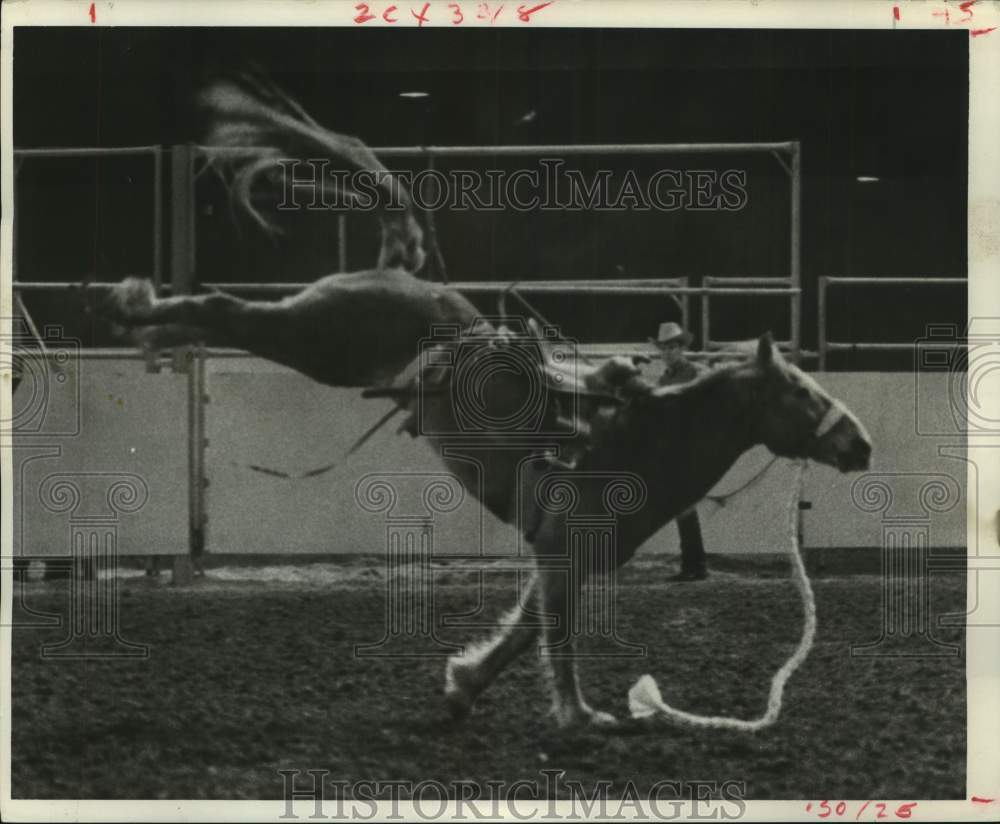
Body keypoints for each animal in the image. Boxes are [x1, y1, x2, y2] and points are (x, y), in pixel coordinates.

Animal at [90, 75, 872, 728]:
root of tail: (397, 271)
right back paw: (133, 308)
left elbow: (525, 630)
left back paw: (143, 321)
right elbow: (555, 635)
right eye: (802, 392)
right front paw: (579, 715)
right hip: (316, 339)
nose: (861, 444)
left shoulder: (564, 558)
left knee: (222, 314)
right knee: (224, 309)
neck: (641, 439)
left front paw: (465, 685)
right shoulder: (563, 551)